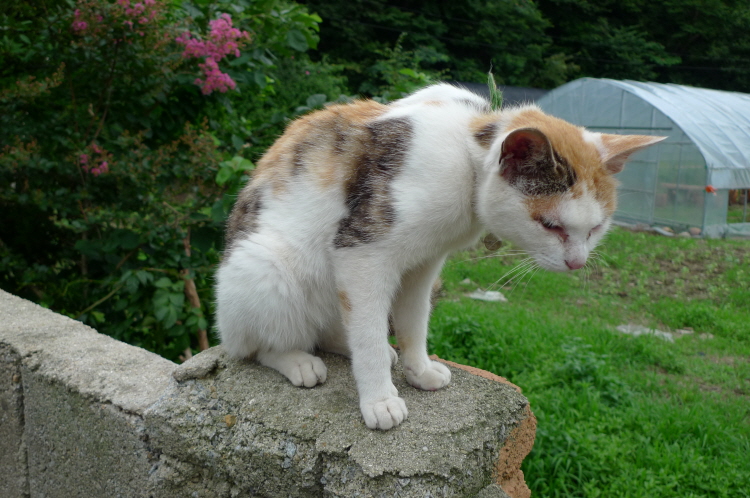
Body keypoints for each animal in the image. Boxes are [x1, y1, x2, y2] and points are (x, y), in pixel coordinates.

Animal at [214, 83, 668, 430]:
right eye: (551, 225)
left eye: (596, 228)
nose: (577, 262)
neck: (467, 155)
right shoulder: (363, 252)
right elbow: (370, 336)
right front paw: (379, 400)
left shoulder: (424, 262)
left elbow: (414, 319)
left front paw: (418, 368)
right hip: (265, 265)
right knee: (255, 346)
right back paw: (298, 361)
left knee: (335, 326)